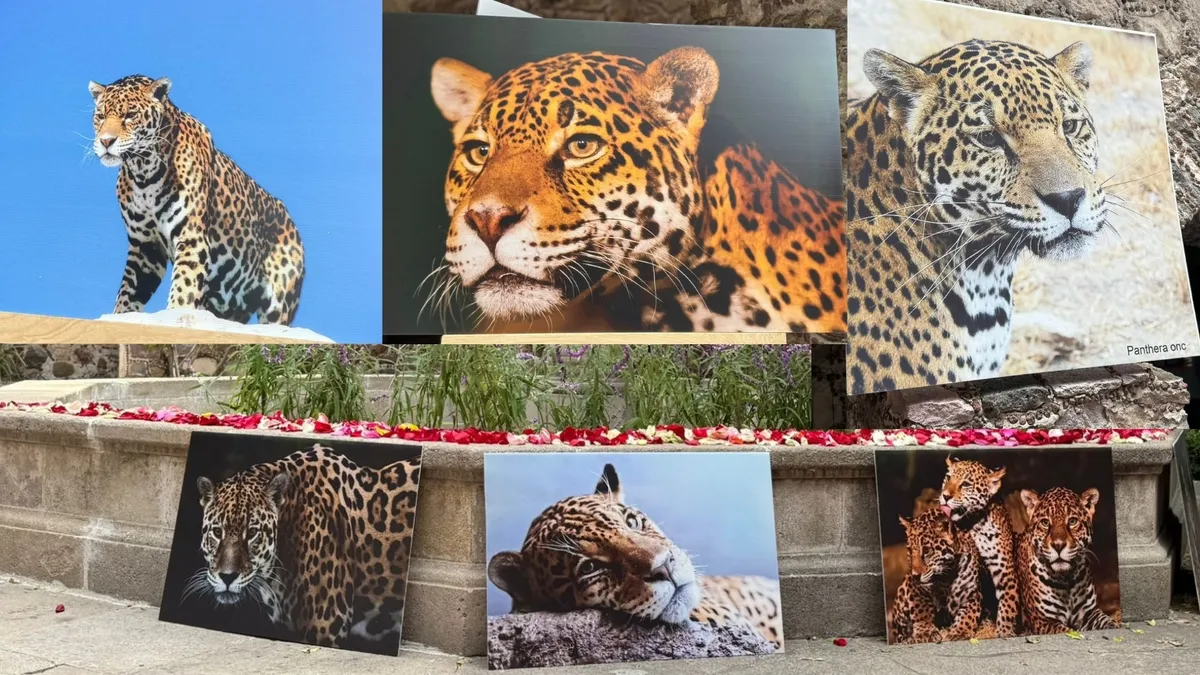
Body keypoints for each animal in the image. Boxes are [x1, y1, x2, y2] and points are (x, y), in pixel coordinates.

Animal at [89, 75, 304, 324]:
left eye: (130, 115)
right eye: (100, 116)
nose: (106, 141)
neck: (143, 171)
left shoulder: (191, 237)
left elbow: (184, 285)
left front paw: (174, 314)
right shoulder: (145, 247)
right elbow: (128, 292)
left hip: (279, 301)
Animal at [890, 509, 982, 644]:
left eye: (927, 550)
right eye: (910, 551)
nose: (915, 576)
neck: (946, 577)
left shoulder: (972, 591)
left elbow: (969, 612)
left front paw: (960, 631)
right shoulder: (914, 588)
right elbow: (921, 609)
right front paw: (925, 633)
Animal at [939, 457, 1020, 637]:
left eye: (966, 484)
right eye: (948, 478)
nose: (945, 496)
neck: (972, 524)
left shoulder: (1005, 572)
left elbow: (1008, 606)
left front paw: (1004, 632)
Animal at [1018, 487, 1120, 634]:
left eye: (1072, 521)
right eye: (1045, 523)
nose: (1058, 545)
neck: (1066, 580)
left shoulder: (1089, 613)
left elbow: (1107, 621)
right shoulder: (1043, 621)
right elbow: (1065, 630)